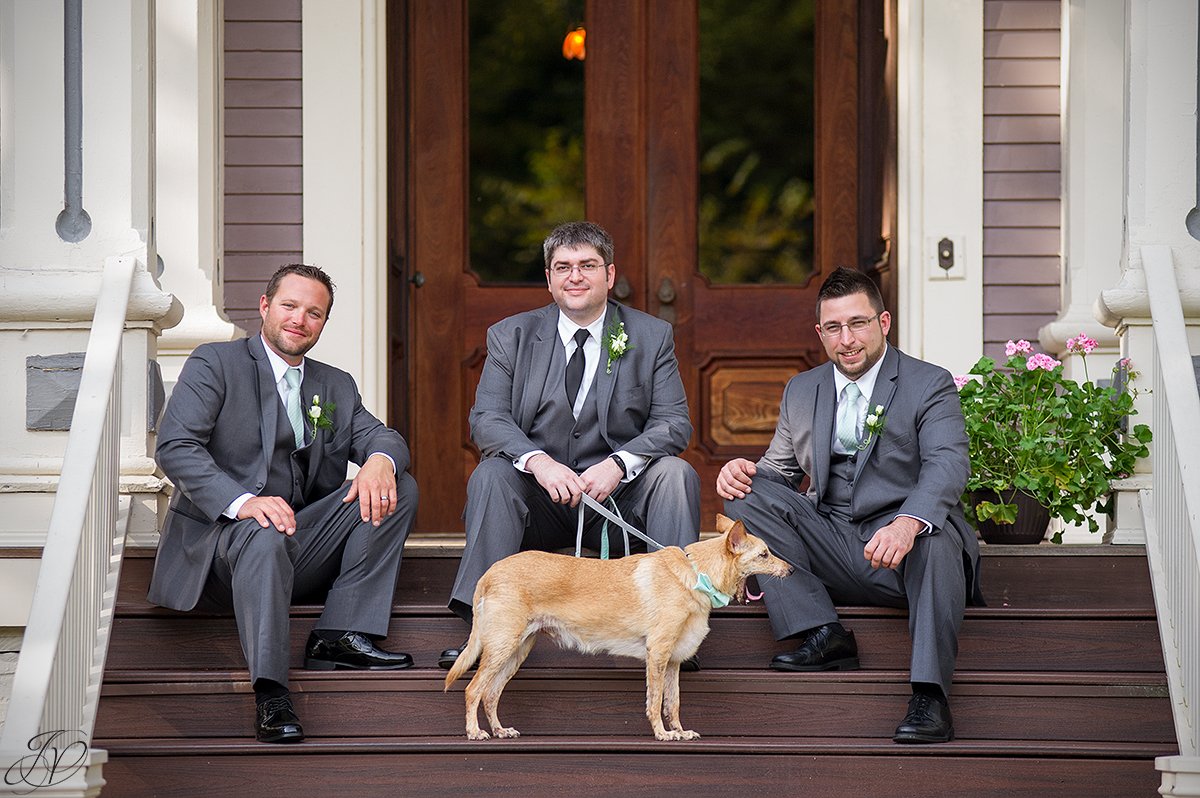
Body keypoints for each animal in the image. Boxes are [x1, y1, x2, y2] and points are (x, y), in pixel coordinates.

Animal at [446, 516, 792, 739]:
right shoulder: (658, 654)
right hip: (501, 647)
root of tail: (489, 572)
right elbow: (655, 700)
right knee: (473, 690)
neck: (697, 573)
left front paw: (679, 731)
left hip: (516, 651)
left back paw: (499, 730)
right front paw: (662, 734)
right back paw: (475, 732)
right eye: (764, 554)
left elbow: (673, 702)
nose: (791, 569)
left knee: (490, 694)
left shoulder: (673, 662)